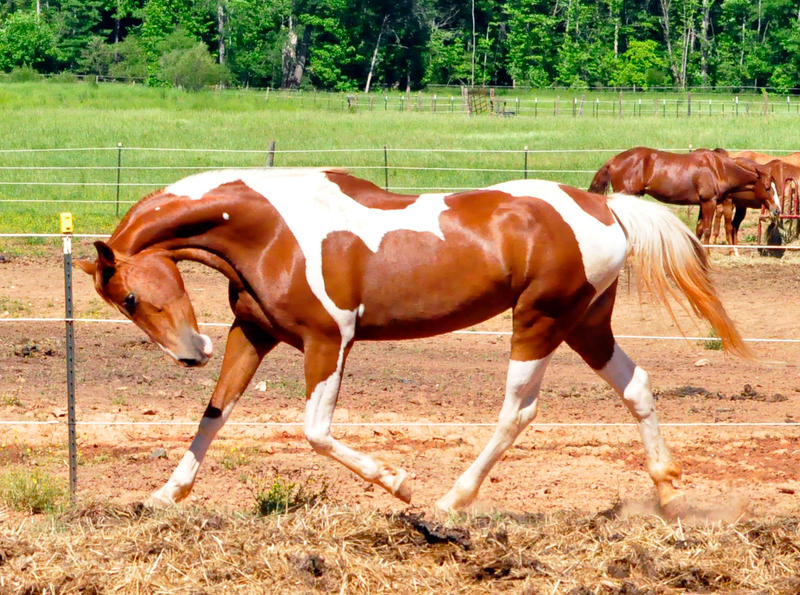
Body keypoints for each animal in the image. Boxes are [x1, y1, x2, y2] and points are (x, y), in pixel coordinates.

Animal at [76, 166, 752, 512]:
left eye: (128, 298)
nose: (192, 353)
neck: (269, 229)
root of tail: (605, 207)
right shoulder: (254, 334)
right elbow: (214, 412)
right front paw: (164, 495)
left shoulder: (330, 340)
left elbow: (315, 431)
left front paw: (400, 483)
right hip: (587, 324)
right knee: (636, 386)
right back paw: (667, 493)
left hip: (539, 321)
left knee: (518, 411)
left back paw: (451, 501)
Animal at [588, 147, 780, 247]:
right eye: (768, 188)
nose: (777, 210)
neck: (718, 169)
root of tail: (613, 160)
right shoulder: (709, 202)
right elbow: (707, 230)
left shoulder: (702, 204)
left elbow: (699, 229)